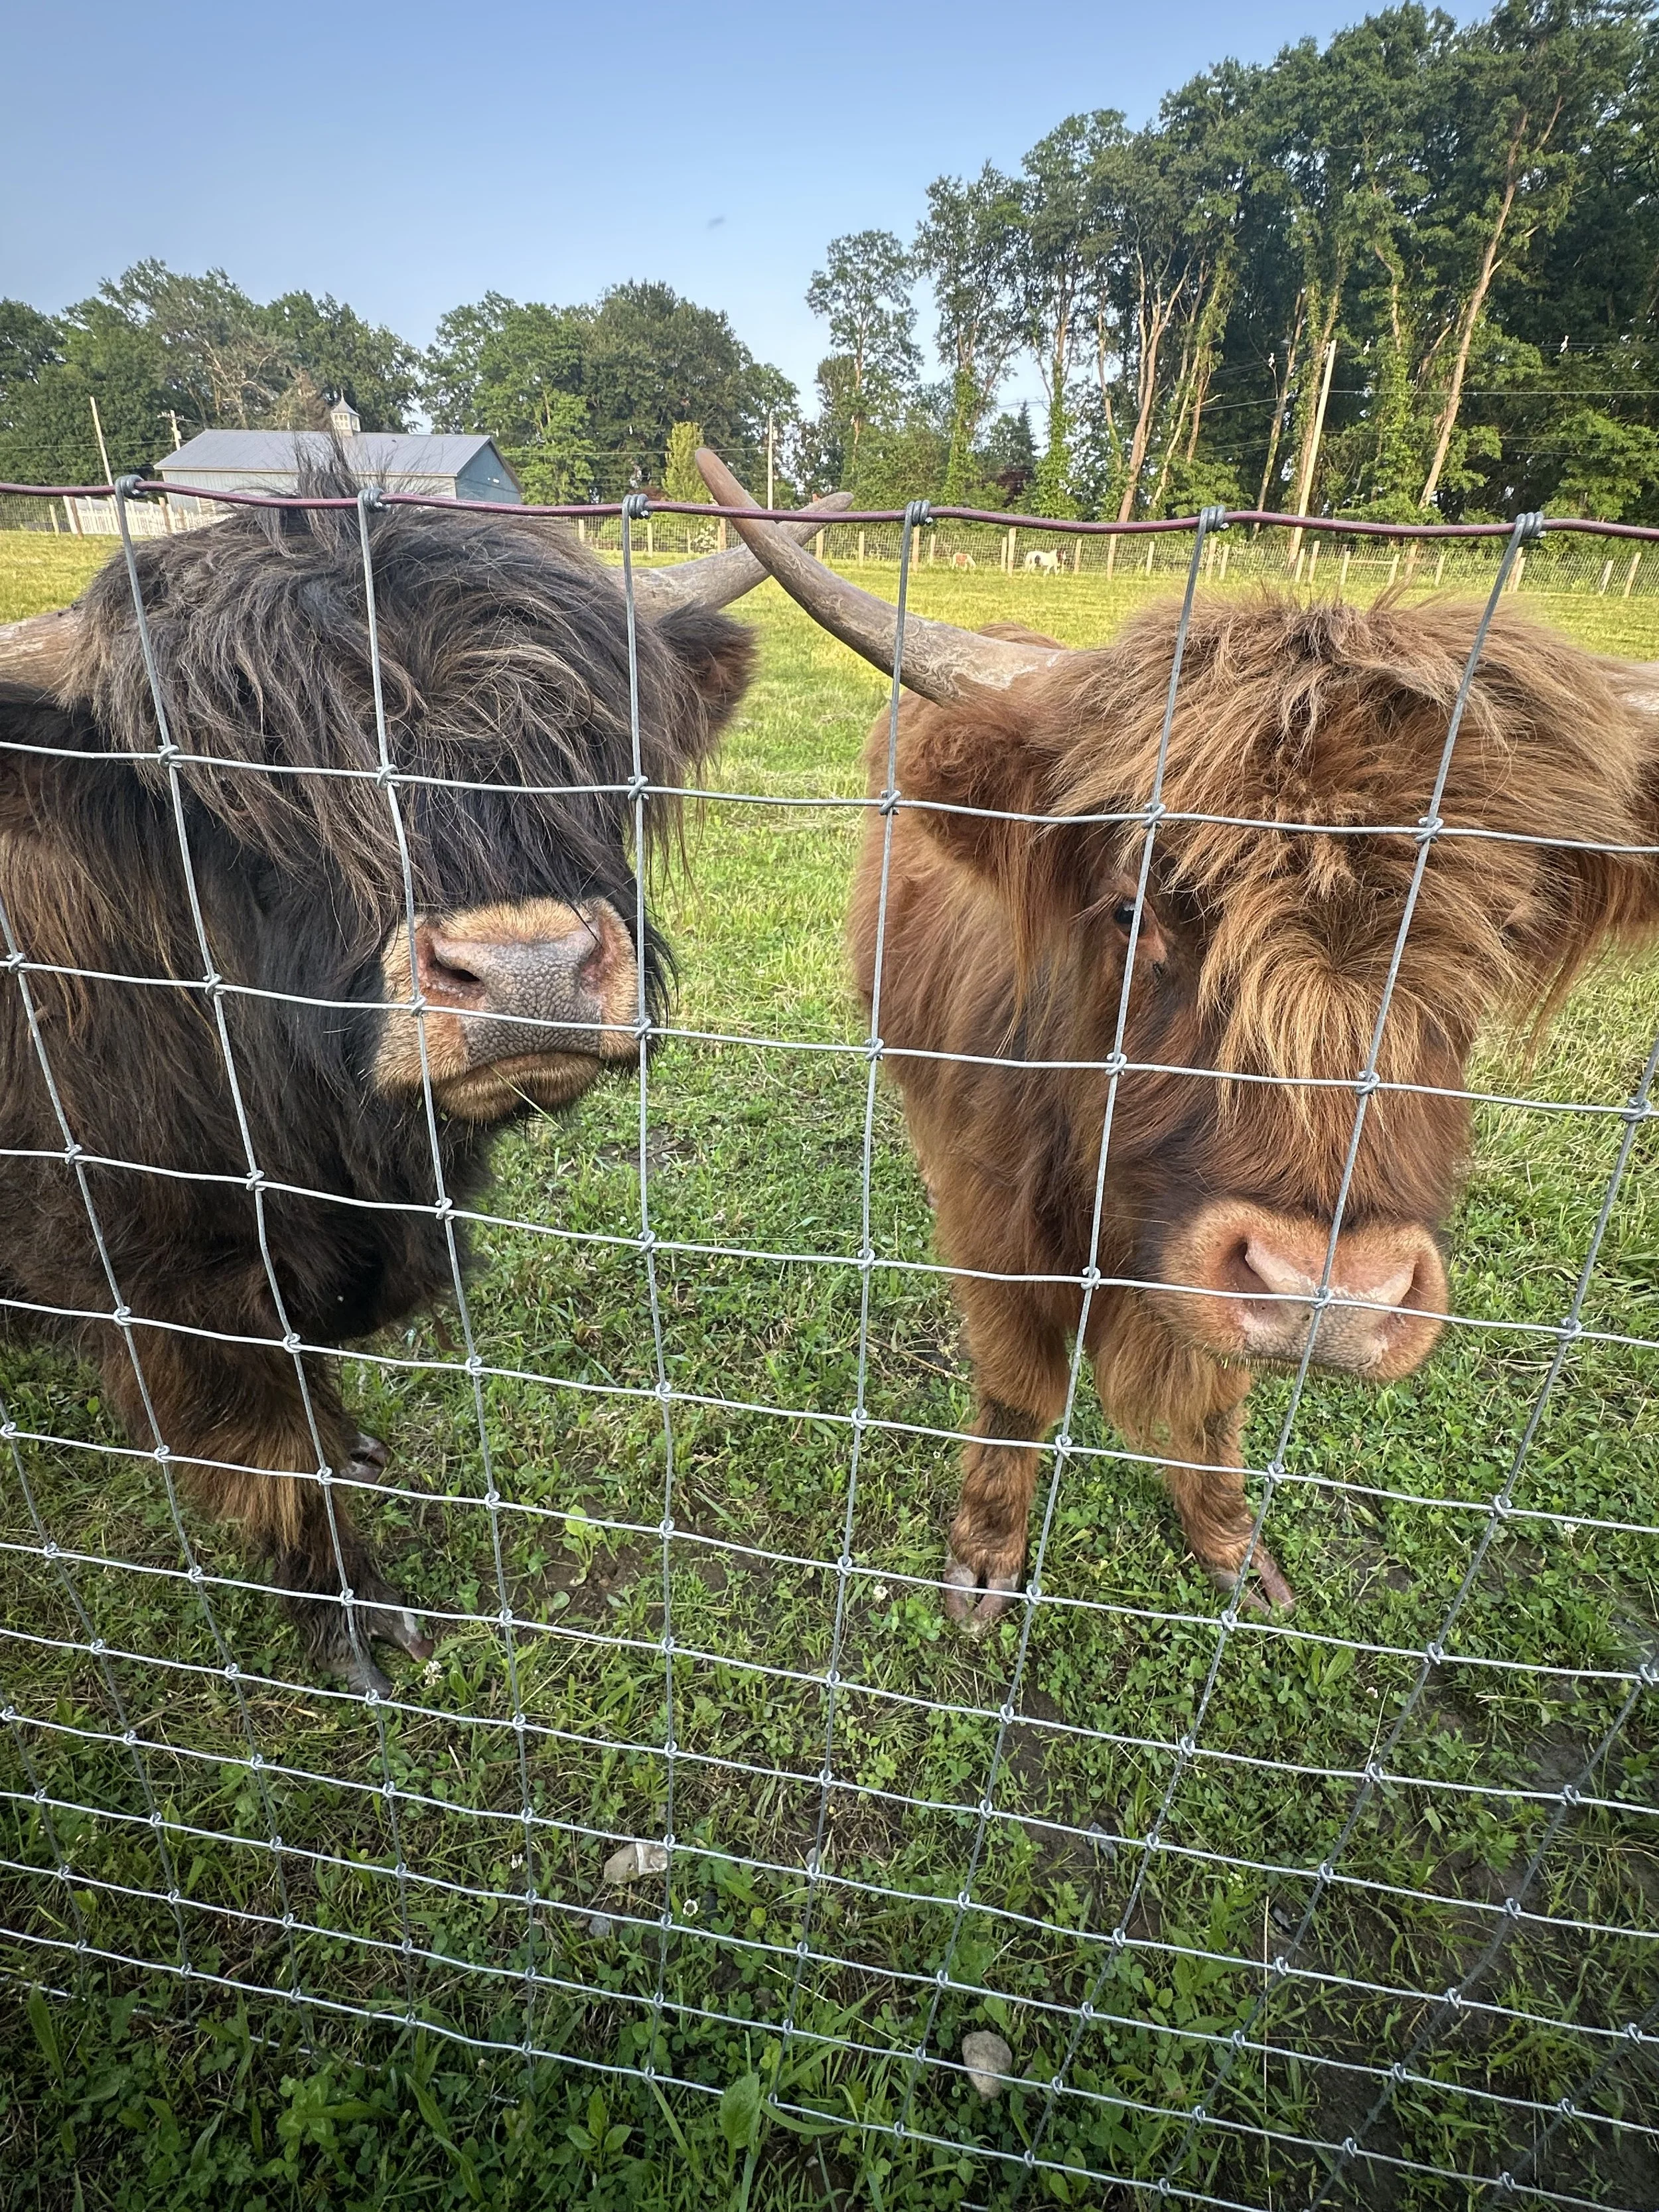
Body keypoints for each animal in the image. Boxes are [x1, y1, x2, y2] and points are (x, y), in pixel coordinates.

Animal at [0, 473, 849, 1691]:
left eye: (584, 742)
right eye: (267, 790)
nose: (529, 970)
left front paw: (351, 1439)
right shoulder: (160, 1277)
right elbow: (273, 1458)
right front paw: (355, 1621)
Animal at [698, 449, 1659, 1622]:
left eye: (1503, 934)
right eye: (1131, 909)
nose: (1330, 1296)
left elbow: (1212, 1402)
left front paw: (1234, 1546)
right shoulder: (997, 1218)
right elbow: (1017, 1385)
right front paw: (986, 1555)